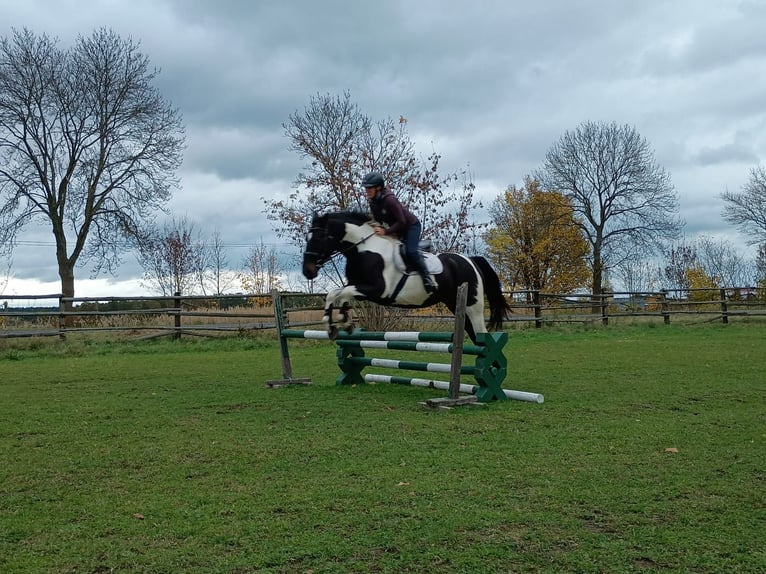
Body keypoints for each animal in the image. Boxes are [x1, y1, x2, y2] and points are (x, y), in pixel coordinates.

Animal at [301, 211, 509, 344]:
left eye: (320, 238)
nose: (307, 271)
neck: (364, 249)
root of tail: (470, 260)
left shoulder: (377, 290)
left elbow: (342, 293)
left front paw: (340, 321)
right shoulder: (359, 287)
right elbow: (336, 293)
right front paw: (336, 324)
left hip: (473, 305)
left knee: (481, 333)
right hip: (455, 303)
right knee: (472, 333)